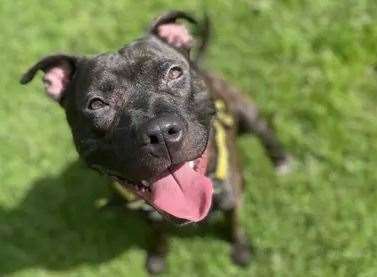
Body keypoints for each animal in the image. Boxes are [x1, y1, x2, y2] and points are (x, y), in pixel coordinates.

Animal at [20, 11, 290, 274]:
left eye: (174, 72)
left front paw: (241, 250)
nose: (160, 132)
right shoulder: (150, 216)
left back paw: (282, 161)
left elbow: (234, 224)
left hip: (248, 114)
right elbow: (158, 235)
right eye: (96, 104)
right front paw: (157, 258)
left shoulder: (231, 196)